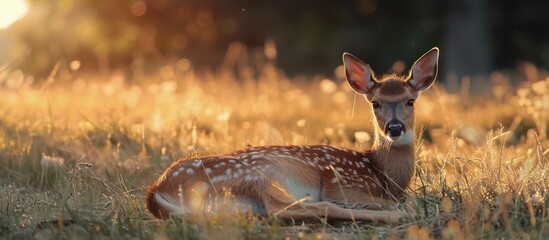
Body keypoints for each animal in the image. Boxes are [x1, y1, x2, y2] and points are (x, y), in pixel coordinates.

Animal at [144, 47, 436, 223]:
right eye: (375, 103)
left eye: (410, 101)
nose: (395, 128)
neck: (382, 172)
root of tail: (156, 190)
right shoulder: (341, 183)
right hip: (258, 174)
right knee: (291, 209)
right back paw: (397, 216)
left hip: (238, 203)